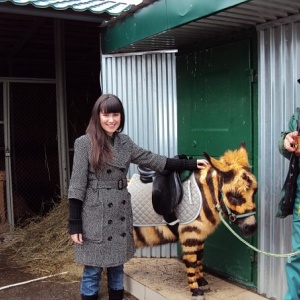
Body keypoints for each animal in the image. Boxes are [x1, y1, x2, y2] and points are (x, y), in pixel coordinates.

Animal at [131, 143, 258, 300]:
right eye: (233, 195)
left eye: (255, 192)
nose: (251, 228)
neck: (204, 197)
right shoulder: (189, 233)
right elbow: (191, 260)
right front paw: (195, 290)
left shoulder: (200, 234)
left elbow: (199, 257)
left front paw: (201, 281)